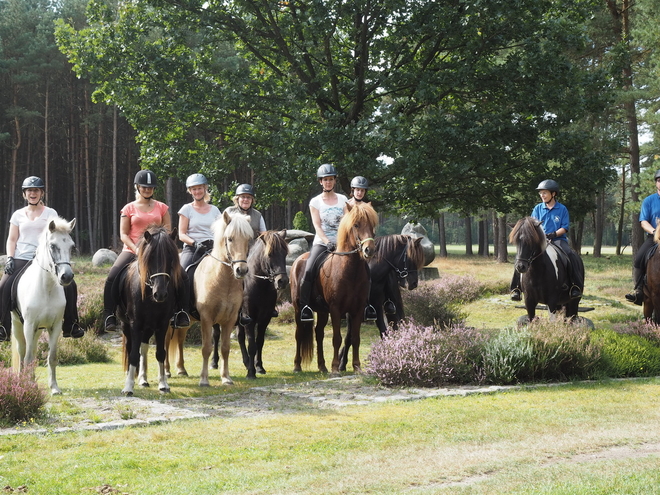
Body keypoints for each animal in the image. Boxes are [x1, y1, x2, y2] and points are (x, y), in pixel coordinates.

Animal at [11, 217, 76, 396]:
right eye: (53, 246)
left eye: (72, 246)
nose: (66, 276)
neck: (46, 288)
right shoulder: (29, 325)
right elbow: (27, 358)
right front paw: (25, 386)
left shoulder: (55, 326)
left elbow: (51, 357)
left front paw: (54, 387)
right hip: (18, 326)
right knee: (23, 351)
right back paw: (22, 380)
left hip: (38, 330)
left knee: (32, 350)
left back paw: (32, 381)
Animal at [118, 228, 183, 396]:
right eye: (151, 257)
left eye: (171, 257)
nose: (160, 294)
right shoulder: (135, 324)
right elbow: (133, 354)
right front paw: (128, 386)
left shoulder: (162, 324)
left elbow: (160, 353)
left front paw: (163, 384)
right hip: (126, 325)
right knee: (131, 347)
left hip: (148, 328)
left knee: (144, 347)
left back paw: (143, 379)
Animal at [292, 202, 378, 376]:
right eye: (356, 225)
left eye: (372, 224)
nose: (369, 250)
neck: (350, 272)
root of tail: (298, 260)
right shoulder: (336, 309)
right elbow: (337, 338)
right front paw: (335, 368)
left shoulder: (357, 309)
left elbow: (355, 338)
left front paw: (357, 367)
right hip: (298, 309)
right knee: (299, 334)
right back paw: (297, 366)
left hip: (322, 311)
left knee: (318, 333)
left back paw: (322, 366)